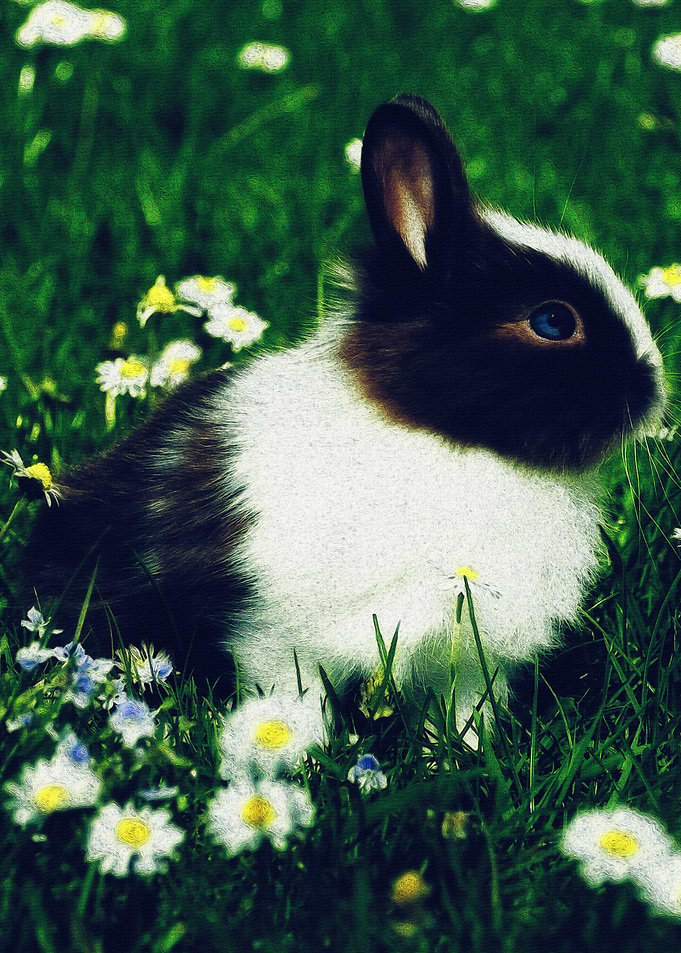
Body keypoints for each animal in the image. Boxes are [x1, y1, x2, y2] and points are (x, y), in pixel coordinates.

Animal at [21, 94, 666, 746]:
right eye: (554, 321)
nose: (653, 387)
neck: (447, 440)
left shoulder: (464, 660)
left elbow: (460, 713)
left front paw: (455, 755)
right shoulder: (279, 638)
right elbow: (292, 701)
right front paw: (296, 754)